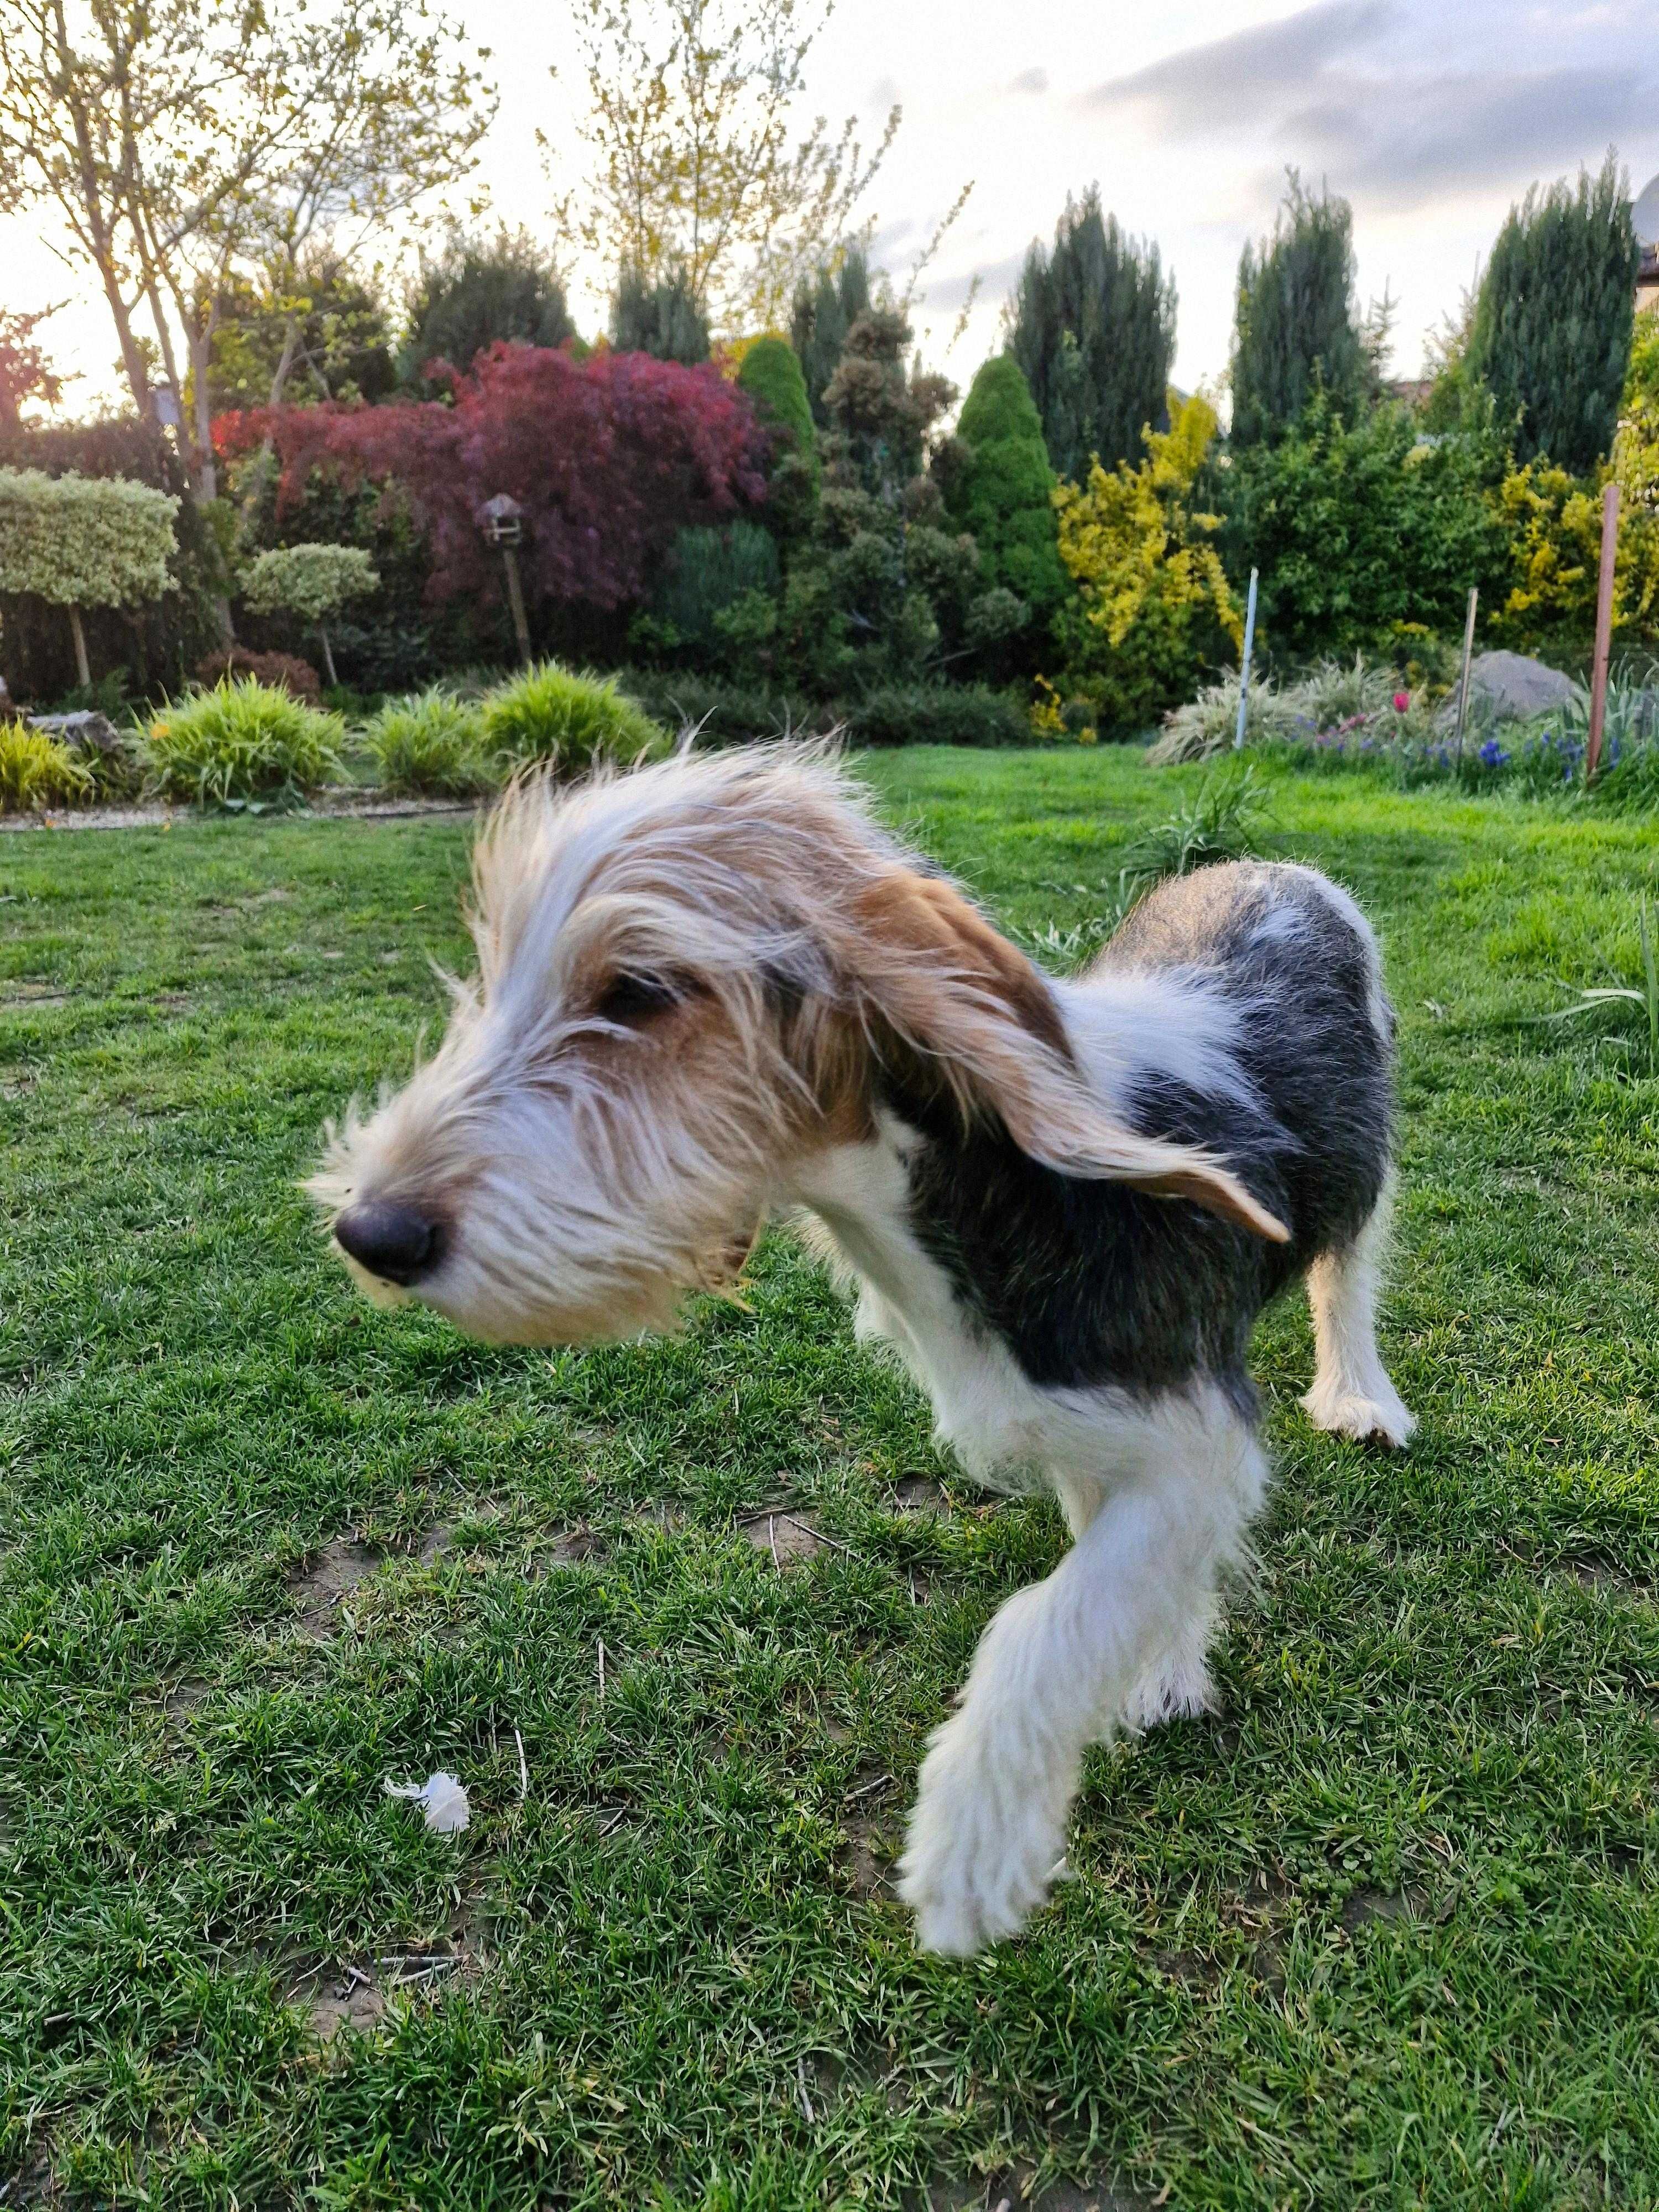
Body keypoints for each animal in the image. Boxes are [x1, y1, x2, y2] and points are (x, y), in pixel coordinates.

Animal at [314, 743, 1416, 1955]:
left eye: (639, 991)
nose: (371, 1232)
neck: (989, 1188)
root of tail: (1274, 865)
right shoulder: (1109, 1439)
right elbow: (1112, 1566)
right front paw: (1164, 1658)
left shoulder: (1200, 1431)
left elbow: (1049, 1618)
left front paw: (974, 1841)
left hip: (1366, 1176)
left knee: (1347, 1277)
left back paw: (1359, 1393)